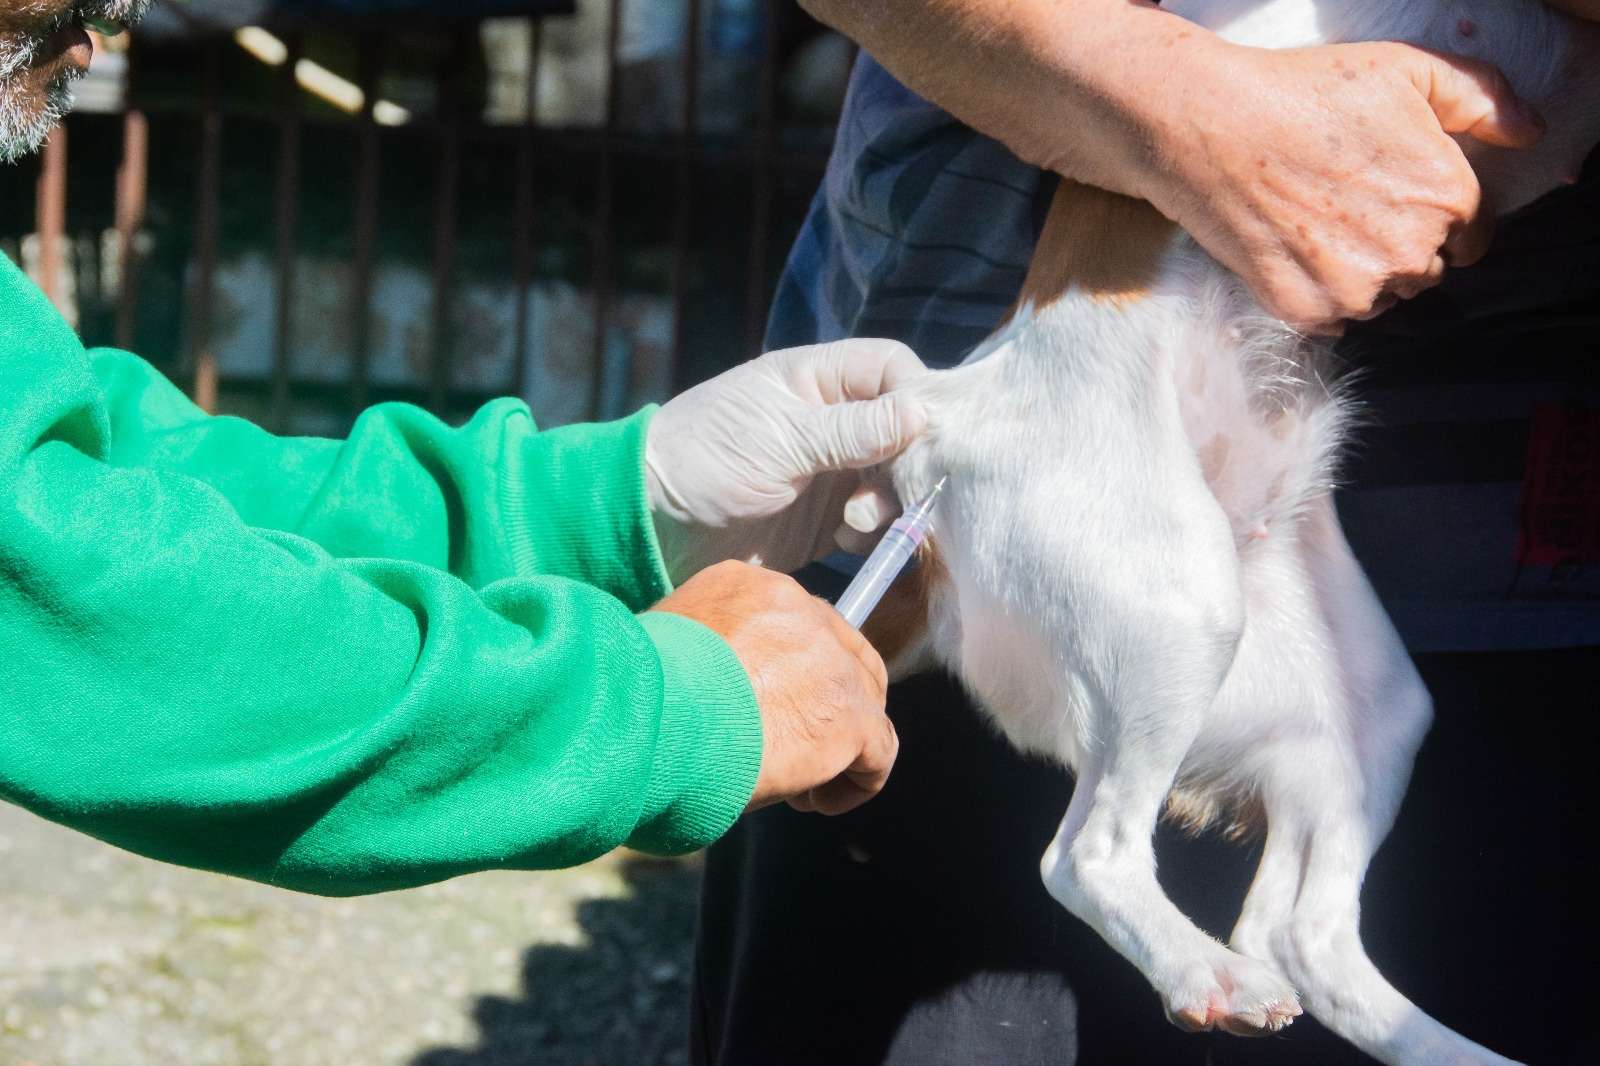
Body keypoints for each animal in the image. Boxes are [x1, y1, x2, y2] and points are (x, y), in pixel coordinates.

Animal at [876, 4, 1600, 1056]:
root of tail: (943, 441)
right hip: (1181, 605)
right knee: (1088, 858)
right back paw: (1204, 972)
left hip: (1372, 705)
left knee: (1304, 938)